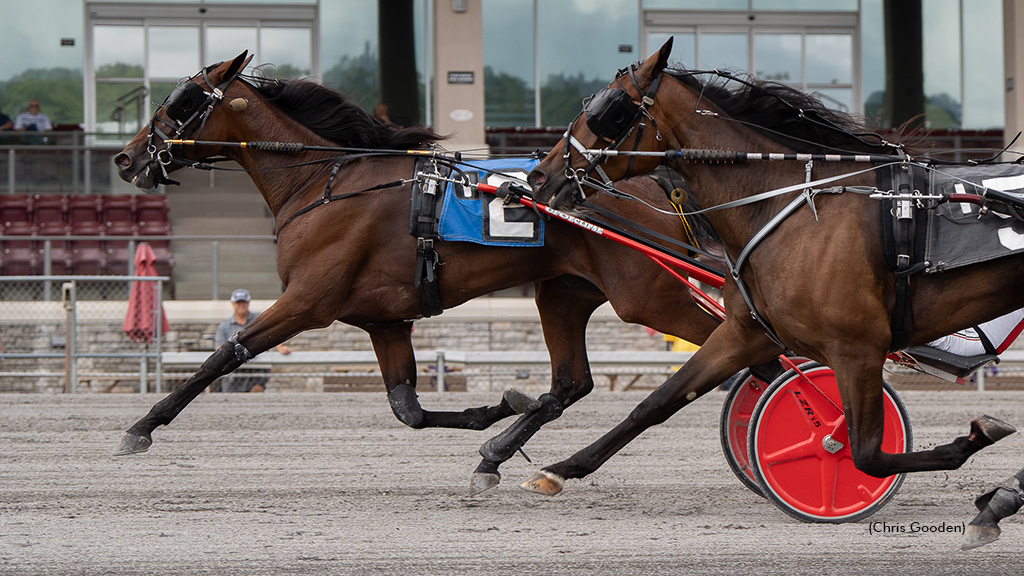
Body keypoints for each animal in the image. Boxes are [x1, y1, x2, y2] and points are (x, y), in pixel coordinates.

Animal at [110, 52, 729, 487]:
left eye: (181, 100)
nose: (126, 156)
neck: (323, 184)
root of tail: (656, 181)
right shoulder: (384, 322)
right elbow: (408, 409)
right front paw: (497, 409)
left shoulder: (307, 302)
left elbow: (225, 354)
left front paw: (140, 428)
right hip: (564, 292)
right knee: (571, 382)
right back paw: (498, 452)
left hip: (646, 294)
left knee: (725, 343)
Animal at [524, 40, 1019, 512]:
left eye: (609, 110)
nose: (539, 175)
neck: (787, 203)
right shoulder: (747, 332)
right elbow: (657, 402)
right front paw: (559, 470)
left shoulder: (856, 348)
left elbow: (866, 454)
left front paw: (974, 441)